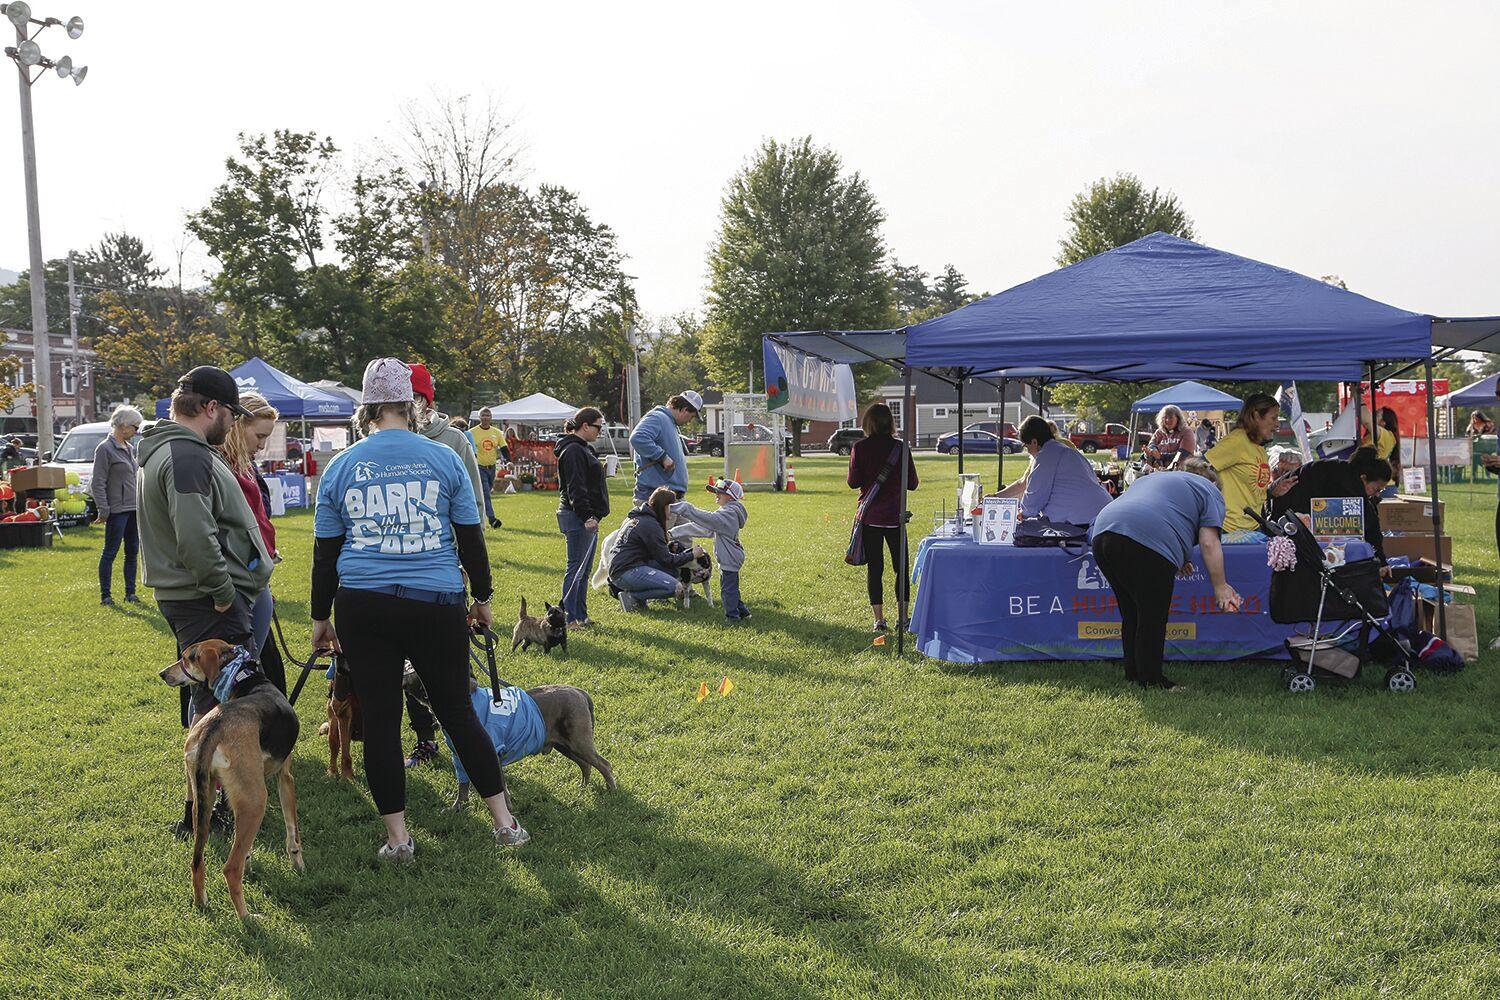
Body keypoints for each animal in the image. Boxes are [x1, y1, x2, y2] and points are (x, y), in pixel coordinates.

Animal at [159, 641, 303, 923]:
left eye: (187, 658)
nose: (163, 674)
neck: (245, 678)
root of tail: (213, 727)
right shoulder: (285, 777)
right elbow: (292, 832)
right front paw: (298, 864)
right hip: (256, 802)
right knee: (230, 868)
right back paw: (247, 917)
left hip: (202, 803)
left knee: (197, 860)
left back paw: (201, 901)